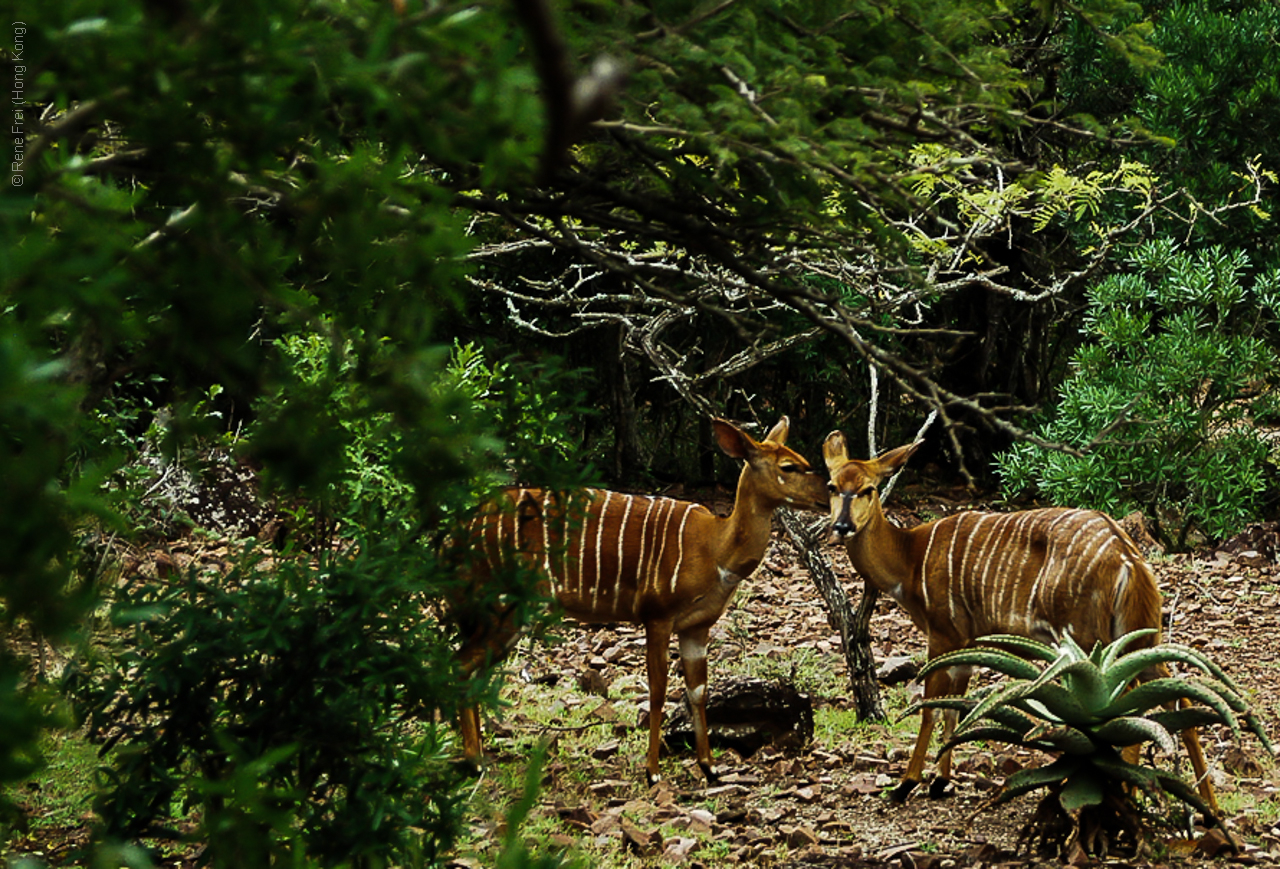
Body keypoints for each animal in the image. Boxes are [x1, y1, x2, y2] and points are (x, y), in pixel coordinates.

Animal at [453, 417, 829, 783]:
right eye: (789, 466)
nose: (828, 495)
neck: (714, 547)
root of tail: (466, 525)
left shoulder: (697, 627)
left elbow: (697, 690)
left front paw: (710, 767)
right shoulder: (657, 616)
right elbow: (658, 690)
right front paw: (652, 771)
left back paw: (480, 756)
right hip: (503, 606)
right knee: (461, 665)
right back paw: (474, 763)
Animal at [819, 437, 1218, 813]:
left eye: (869, 489)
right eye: (832, 486)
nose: (842, 527)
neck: (910, 558)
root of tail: (1129, 558)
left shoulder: (943, 633)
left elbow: (931, 706)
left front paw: (906, 785)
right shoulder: (968, 642)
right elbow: (954, 706)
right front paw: (940, 783)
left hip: (1088, 639)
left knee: (1131, 702)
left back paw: (1128, 796)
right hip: (1139, 635)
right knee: (1177, 693)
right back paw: (1209, 809)